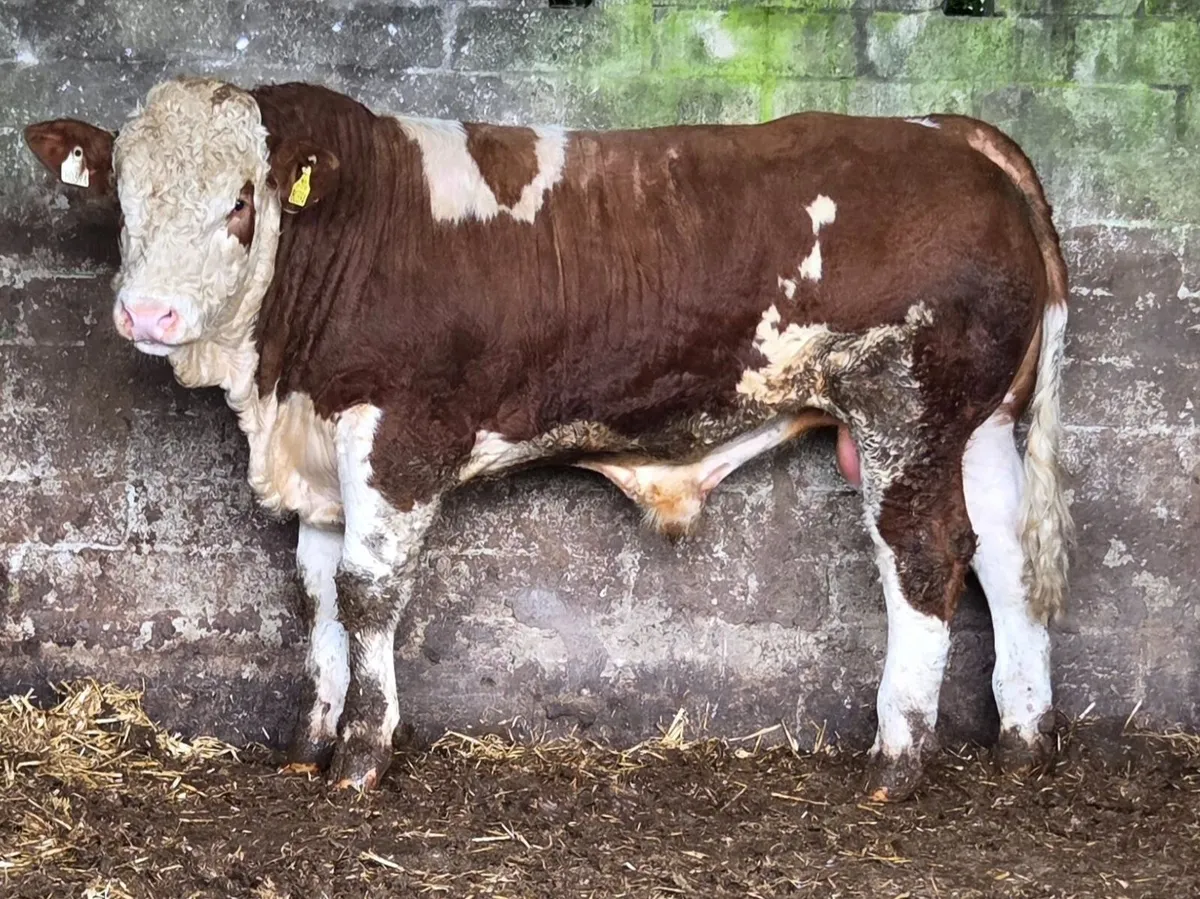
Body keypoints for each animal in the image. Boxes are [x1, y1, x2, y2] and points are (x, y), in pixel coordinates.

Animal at [24, 77, 1073, 800]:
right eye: (123, 201)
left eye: (241, 202)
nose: (148, 314)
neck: (275, 386)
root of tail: (945, 130)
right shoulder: (321, 450)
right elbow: (319, 594)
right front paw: (310, 741)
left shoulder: (397, 436)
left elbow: (368, 596)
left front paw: (361, 756)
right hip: (982, 424)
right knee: (1005, 559)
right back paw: (1024, 740)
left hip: (909, 409)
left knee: (922, 558)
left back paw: (896, 760)